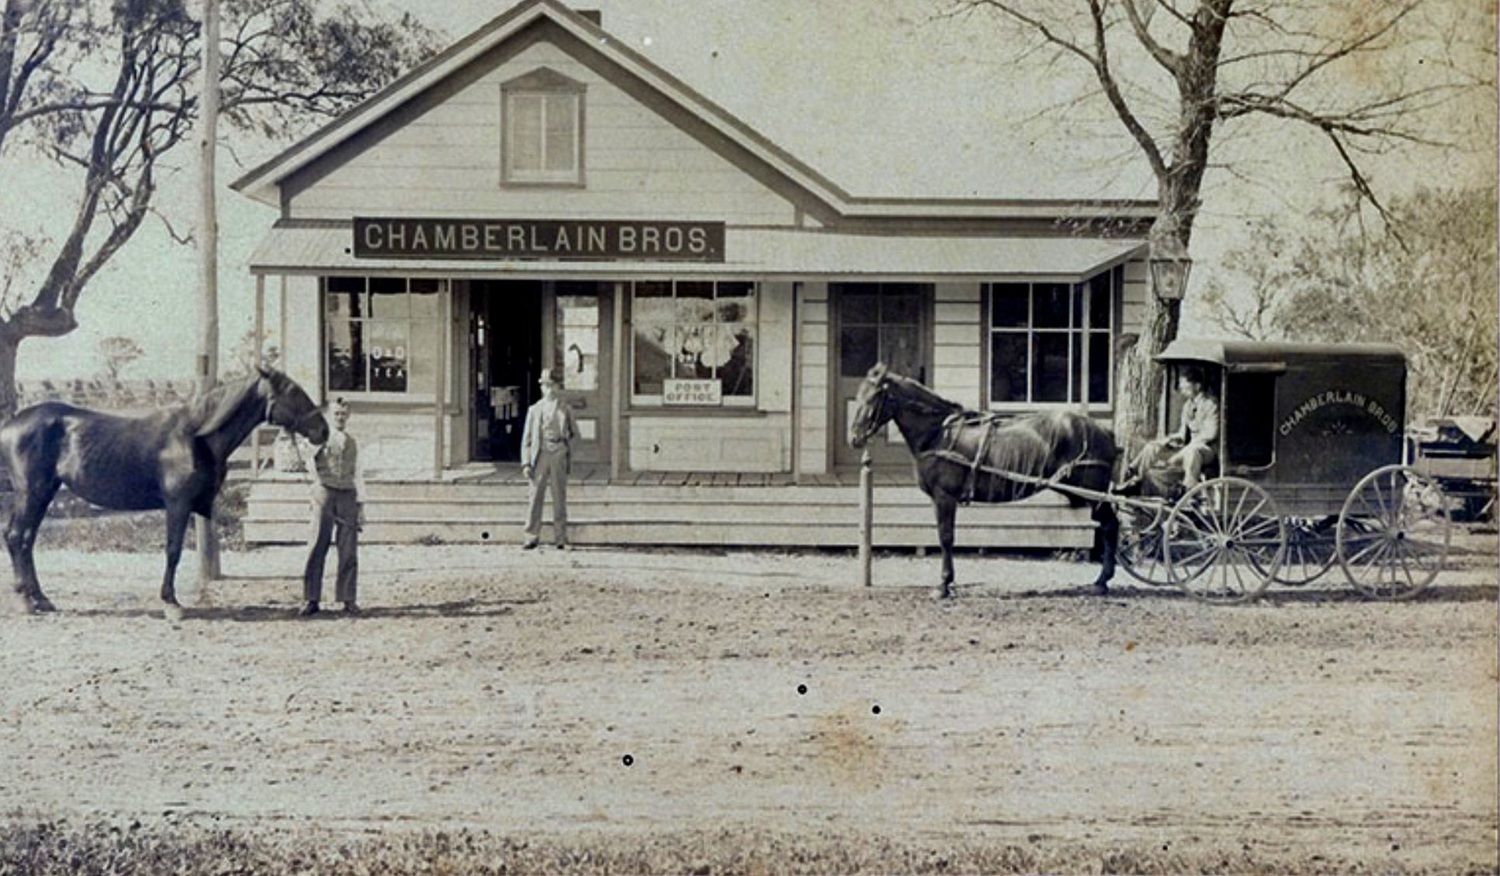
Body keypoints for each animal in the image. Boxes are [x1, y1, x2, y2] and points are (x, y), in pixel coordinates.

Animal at [0, 366, 328, 618]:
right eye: (293, 393)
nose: (323, 431)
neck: (193, 436)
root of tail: (11, 425)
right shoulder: (177, 504)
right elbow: (173, 550)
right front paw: (171, 603)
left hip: (44, 493)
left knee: (26, 541)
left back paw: (41, 599)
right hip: (31, 493)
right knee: (16, 537)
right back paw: (25, 600)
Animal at [852, 361, 1122, 594]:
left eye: (874, 396)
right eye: (859, 394)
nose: (855, 437)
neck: (938, 433)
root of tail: (1105, 431)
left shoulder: (945, 497)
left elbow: (946, 538)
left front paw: (944, 584)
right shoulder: (938, 499)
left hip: (1093, 493)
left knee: (1110, 526)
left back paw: (1102, 580)